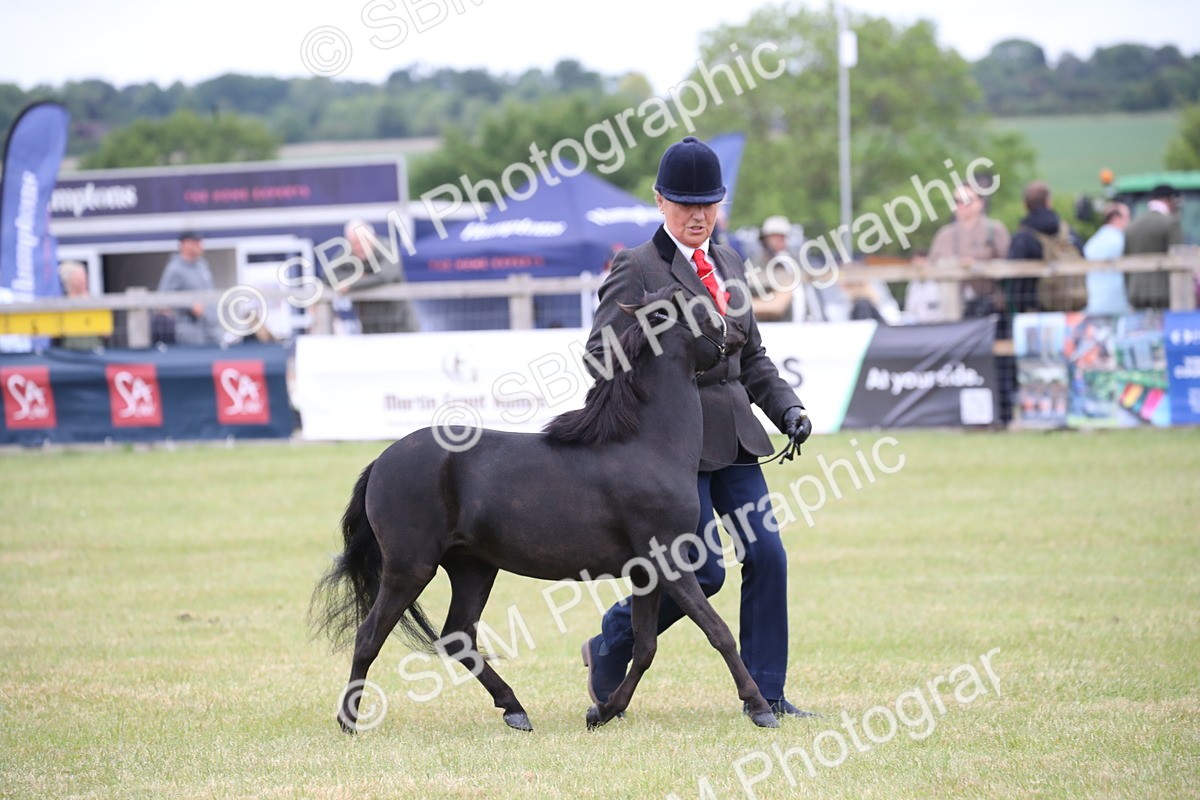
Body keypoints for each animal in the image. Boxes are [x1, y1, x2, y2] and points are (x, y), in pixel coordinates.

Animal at [310, 286, 782, 733]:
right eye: (701, 308)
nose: (741, 333)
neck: (647, 444)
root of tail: (381, 461)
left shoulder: (646, 571)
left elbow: (646, 646)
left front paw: (603, 711)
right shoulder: (669, 561)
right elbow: (718, 631)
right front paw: (759, 708)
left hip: (472, 568)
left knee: (458, 636)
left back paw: (515, 709)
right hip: (410, 567)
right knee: (369, 636)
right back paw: (349, 722)